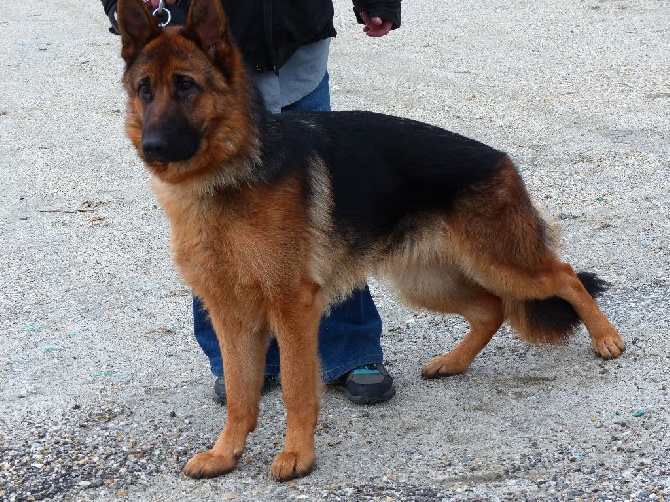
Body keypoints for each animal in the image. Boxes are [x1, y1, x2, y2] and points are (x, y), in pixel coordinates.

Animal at [115, 0, 624, 482]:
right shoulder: (231, 316)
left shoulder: (292, 308)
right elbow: (242, 395)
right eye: (145, 89)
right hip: (427, 281)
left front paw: (297, 455)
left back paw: (607, 339)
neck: (229, 174)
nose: (153, 147)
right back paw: (454, 362)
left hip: (501, 263)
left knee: (564, 277)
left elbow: (298, 389)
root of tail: (500, 159)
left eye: (186, 86)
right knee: (491, 309)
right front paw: (226, 453)